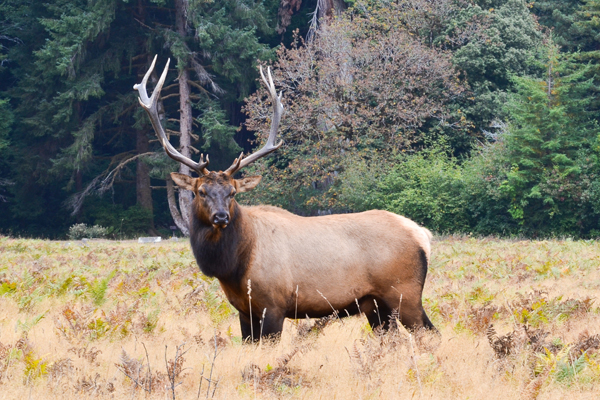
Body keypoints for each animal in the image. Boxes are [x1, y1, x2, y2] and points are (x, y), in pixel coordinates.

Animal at [136, 54, 436, 340]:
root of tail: (422, 234)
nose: (221, 217)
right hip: (375, 305)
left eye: (232, 193)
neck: (235, 267)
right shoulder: (244, 311)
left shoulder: (273, 305)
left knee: (430, 334)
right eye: (201, 192)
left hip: (405, 293)